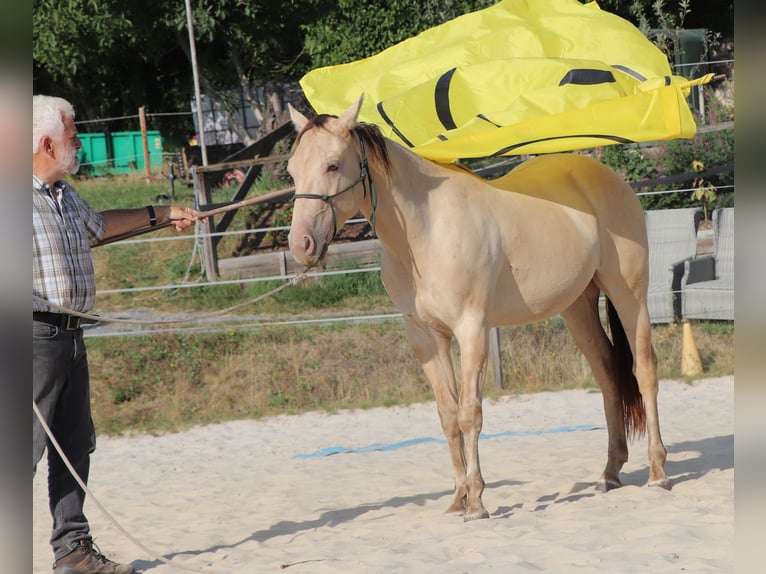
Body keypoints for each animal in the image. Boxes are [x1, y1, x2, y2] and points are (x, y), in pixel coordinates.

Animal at [286, 95, 670, 521]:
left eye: (333, 165)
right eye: (292, 170)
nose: (301, 245)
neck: (427, 231)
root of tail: (607, 177)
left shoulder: (472, 329)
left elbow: (470, 413)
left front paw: (477, 502)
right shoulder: (426, 338)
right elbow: (448, 415)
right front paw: (458, 498)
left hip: (628, 293)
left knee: (644, 369)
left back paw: (657, 472)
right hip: (577, 306)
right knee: (607, 373)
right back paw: (610, 472)